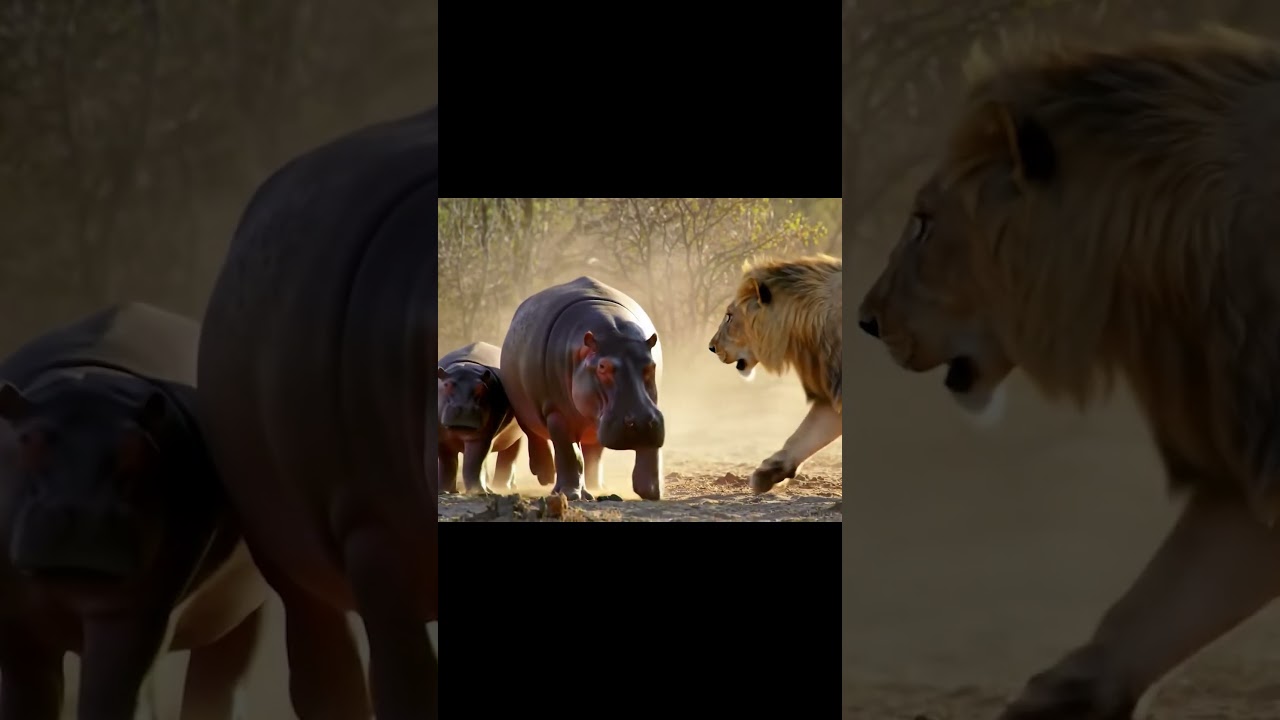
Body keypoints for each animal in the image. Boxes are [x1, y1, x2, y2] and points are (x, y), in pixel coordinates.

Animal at [0, 302, 266, 720]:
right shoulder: (15, 619)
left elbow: (112, 693)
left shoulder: (136, 612)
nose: (84, 514)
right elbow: (27, 695)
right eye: (28, 440)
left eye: (143, 448)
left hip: (237, 609)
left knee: (223, 671)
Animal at [438, 341, 526, 494]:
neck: (466, 367)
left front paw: (480, 492)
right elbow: (447, 463)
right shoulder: (441, 438)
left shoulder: (482, 437)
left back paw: (503, 487)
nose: (464, 408)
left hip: (515, 436)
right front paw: (444, 490)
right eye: (447, 385)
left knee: (510, 456)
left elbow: (474, 462)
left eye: (482, 387)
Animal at [500, 276, 665, 501]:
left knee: (594, 453)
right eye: (603, 366)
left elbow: (650, 451)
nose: (641, 422)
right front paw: (571, 494)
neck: (614, 335)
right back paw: (546, 476)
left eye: (651, 365)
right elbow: (569, 453)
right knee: (536, 436)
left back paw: (598, 487)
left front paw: (651, 491)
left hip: (597, 425)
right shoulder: (556, 412)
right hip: (523, 409)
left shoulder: (651, 411)